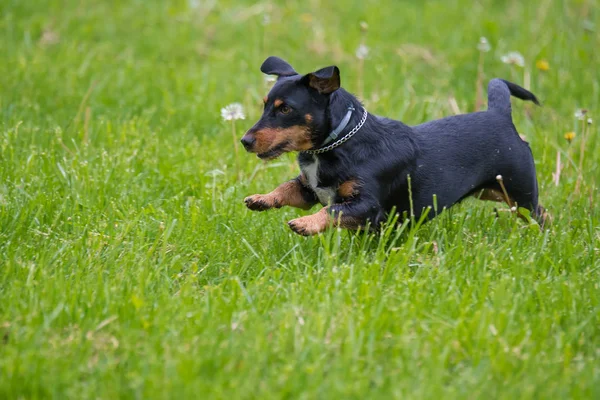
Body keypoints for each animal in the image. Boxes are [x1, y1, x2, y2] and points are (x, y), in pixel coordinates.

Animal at [240, 57, 548, 238]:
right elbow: (287, 187)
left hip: (520, 191)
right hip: (493, 191)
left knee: (541, 213)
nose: (245, 141)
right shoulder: (310, 189)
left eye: (285, 109)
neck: (341, 144)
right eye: (265, 105)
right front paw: (262, 198)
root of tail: (500, 113)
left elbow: (333, 211)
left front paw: (306, 223)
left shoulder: (367, 205)